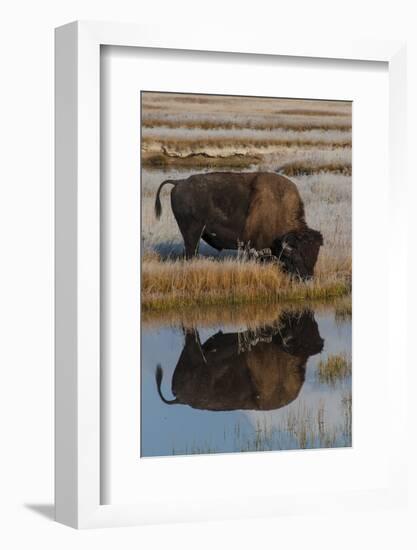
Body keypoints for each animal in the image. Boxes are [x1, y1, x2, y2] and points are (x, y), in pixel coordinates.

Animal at [154, 171, 324, 280]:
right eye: (297, 256)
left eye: (315, 255)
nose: (308, 278)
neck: (279, 206)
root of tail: (179, 182)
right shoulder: (258, 249)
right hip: (192, 233)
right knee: (190, 251)